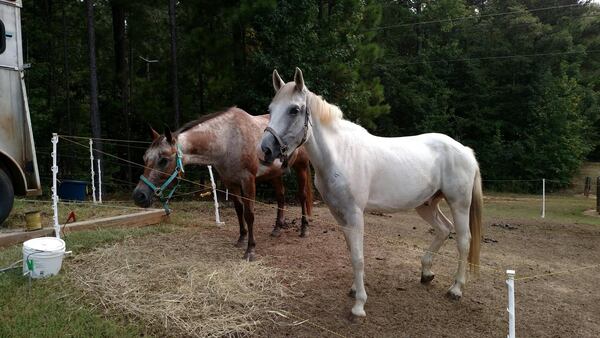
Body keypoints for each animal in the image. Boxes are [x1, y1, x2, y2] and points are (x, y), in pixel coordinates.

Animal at [132, 107, 314, 260]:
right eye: (145, 157)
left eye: (163, 160)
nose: (139, 196)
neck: (227, 140)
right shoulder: (230, 182)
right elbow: (239, 210)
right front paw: (241, 238)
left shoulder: (248, 181)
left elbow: (249, 214)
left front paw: (250, 250)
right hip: (276, 173)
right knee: (281, 197)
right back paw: (277, 229)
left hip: (301, 167)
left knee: (302, 196)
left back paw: (304, 229)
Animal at [258, 67, 482, 318]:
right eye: (270, 109)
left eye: (294, 109)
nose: (265, 150)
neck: (341, 154)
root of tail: (464, 150)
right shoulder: (340, 215)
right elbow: (351, 251)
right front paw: (355, 290)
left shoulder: (355, 214)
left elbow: (358, 258)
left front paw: (359, 306)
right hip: (427, 204)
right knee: (444, 229)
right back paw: (426, 273)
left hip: (459, 204)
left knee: (463, 240)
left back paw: (456, 289)